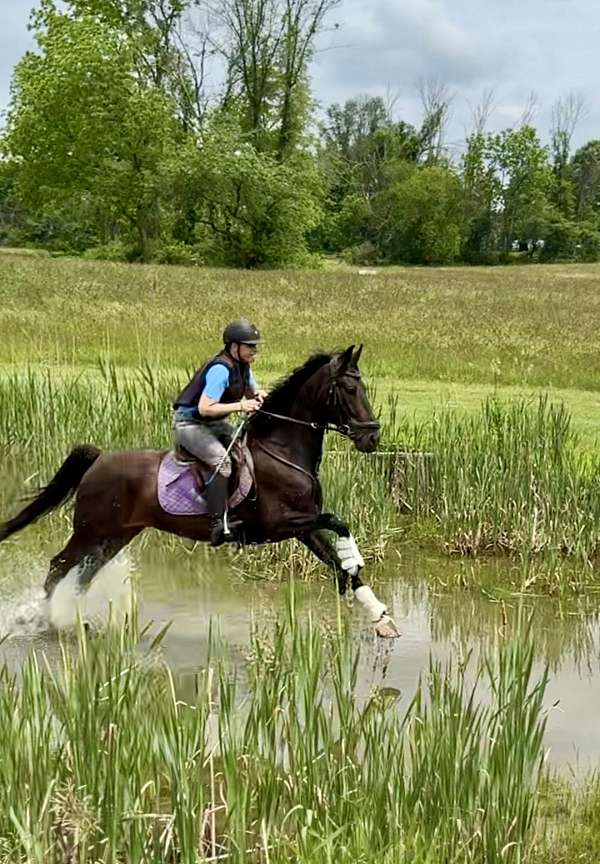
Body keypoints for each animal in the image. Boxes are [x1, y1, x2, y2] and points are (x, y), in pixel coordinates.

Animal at [0, 345, 399, 637]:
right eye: (350, 389)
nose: (372, 438)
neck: (283, 451)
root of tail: (99, 460)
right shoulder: (281, 524)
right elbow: (339, 524)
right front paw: (357, 561)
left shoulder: (304, 526)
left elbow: (339, 566)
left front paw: (381, 617)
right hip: (91, 530)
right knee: (58, 568)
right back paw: (48, 620)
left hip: (115, 535)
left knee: (81, 575)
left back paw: (70, 618)